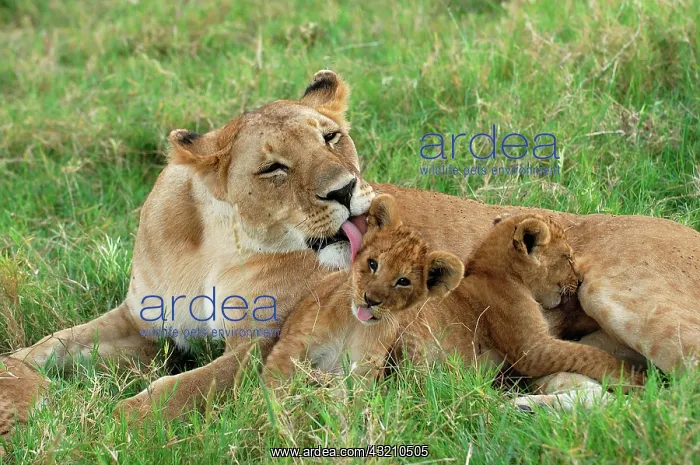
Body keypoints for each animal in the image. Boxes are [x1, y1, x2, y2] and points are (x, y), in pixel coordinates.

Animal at [263, 194, 464, 384]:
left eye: (403, 281)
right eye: (373, 264)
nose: (370, 300)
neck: (354, 325)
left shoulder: (361, 371)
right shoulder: (292, 345)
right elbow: (275, 385)